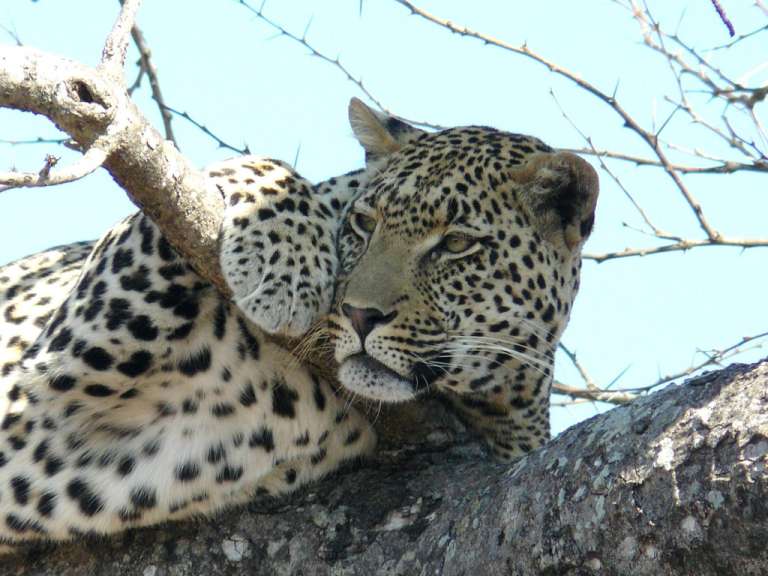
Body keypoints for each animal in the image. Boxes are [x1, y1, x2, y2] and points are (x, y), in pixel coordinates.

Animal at [0, 98, 597, 546]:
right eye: (365, 222)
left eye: (456, 244)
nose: (359, 313)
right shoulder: (39, 387)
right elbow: (255, 167)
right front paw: (285, 272)